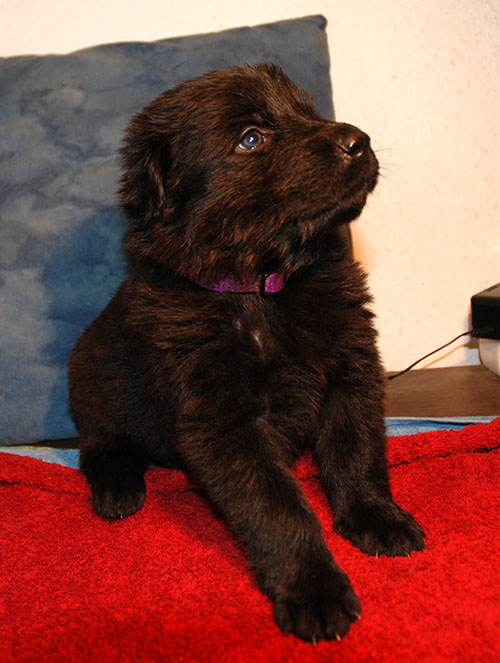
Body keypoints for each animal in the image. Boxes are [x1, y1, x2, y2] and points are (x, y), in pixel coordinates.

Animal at [68, 63, 424, 644]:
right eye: (251, 138)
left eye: (308, 112)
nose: (359, 141)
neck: (262, 289)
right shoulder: (224, 419)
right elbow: (278, 506)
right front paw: (314, 588)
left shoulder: (353, 372)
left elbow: (357, 453)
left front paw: (377, 517)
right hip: (94, 389)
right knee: (97, 447)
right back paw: (118, 486)